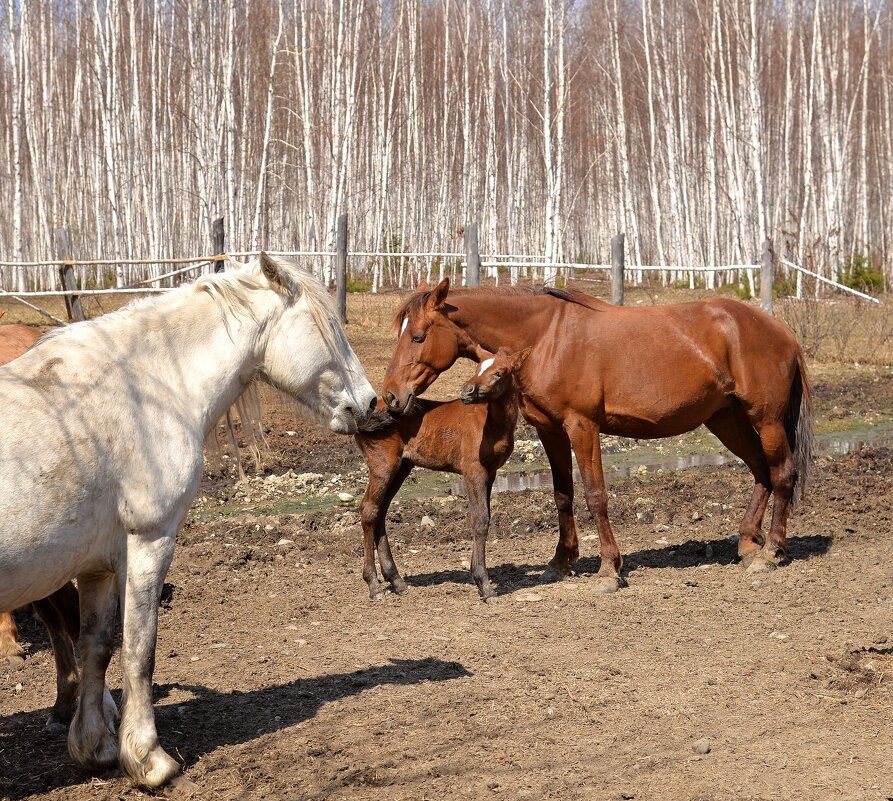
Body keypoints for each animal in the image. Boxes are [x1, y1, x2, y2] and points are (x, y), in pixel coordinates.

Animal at [0, 252, 374, 788]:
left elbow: (96, 647)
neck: (145, 388)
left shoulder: (97, 566)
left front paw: (96, 748)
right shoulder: (149, 541)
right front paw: (149, 760)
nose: (369, 402)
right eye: (329, 327)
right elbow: (139, 649)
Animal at [352, 346, 528, 596]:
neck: (491, 423)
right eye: (477, 367)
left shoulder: (491, 472)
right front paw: (484, 584)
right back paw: (374, 585)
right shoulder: (473, 470)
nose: (466, 390)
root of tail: (363, 417)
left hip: (402, 467)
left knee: (380, 512)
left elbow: (485, 518)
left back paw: (396, 580)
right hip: (383, 465)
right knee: (368, 510)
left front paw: (477, 576)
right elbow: (480, 520)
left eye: (499, 372)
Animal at [380, 278, 812, 592]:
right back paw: (748, 543)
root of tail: (781, 329)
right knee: (760, 471)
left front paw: (608, 570)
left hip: (766, 419)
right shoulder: (550, 430)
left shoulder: (582, 427)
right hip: (726, 419)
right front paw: (560, 563)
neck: (544, 337)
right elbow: (563, 495)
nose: (390, 397)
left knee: (781, 473)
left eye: (418, 336)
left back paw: (772, 552)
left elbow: (595, 495)